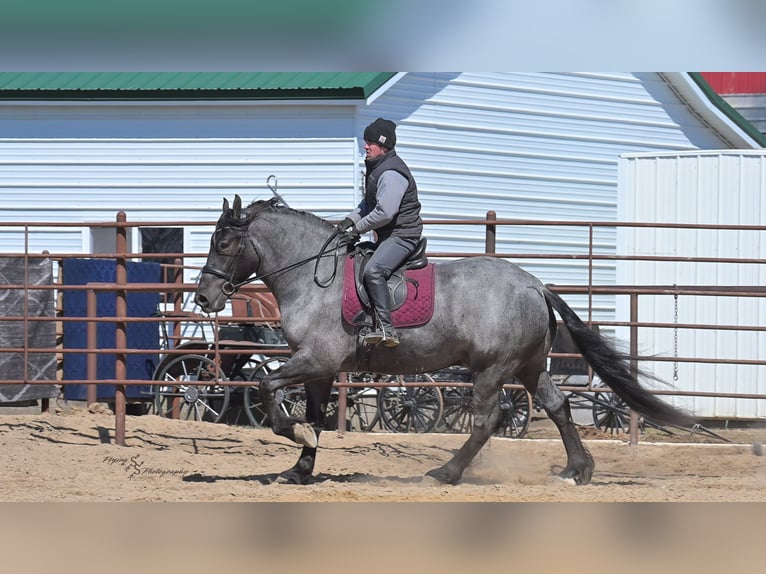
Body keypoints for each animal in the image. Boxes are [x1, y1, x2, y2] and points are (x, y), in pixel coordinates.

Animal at [195, 195, 695, 486]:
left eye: (224, 242)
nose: (203, 297)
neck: (314, 277)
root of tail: (534, 284)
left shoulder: (316, 359)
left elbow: (266, 388)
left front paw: (293, 432)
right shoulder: (318, 368)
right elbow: (314, 415)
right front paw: (300, 468)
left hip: (492, 369)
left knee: (487, 420)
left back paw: (445, 473)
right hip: (529, 366)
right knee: (558, 406)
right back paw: (576, 470)